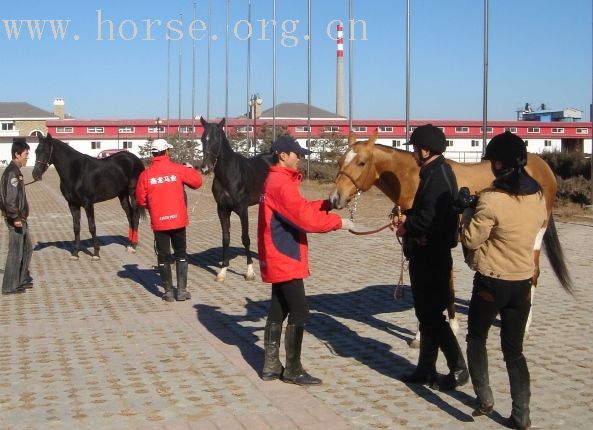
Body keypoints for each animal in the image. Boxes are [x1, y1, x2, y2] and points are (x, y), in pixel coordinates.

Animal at [199, 116, 272, 282]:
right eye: (202, 139)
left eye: (217, 139)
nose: (205, 168)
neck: (228, 175)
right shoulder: (222, 210)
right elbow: (226, 238)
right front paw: (222, 271)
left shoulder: (242, 209)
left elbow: (245, 238)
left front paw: (250, 272)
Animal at [330, 129, 572, 344]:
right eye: (340, 161)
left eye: (361, 162)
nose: (335, 198)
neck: (415, 179)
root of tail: (542, 166)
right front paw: (449, 327)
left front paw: (424, 334)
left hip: (536, 235)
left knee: (532, 274)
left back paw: (525, 328)